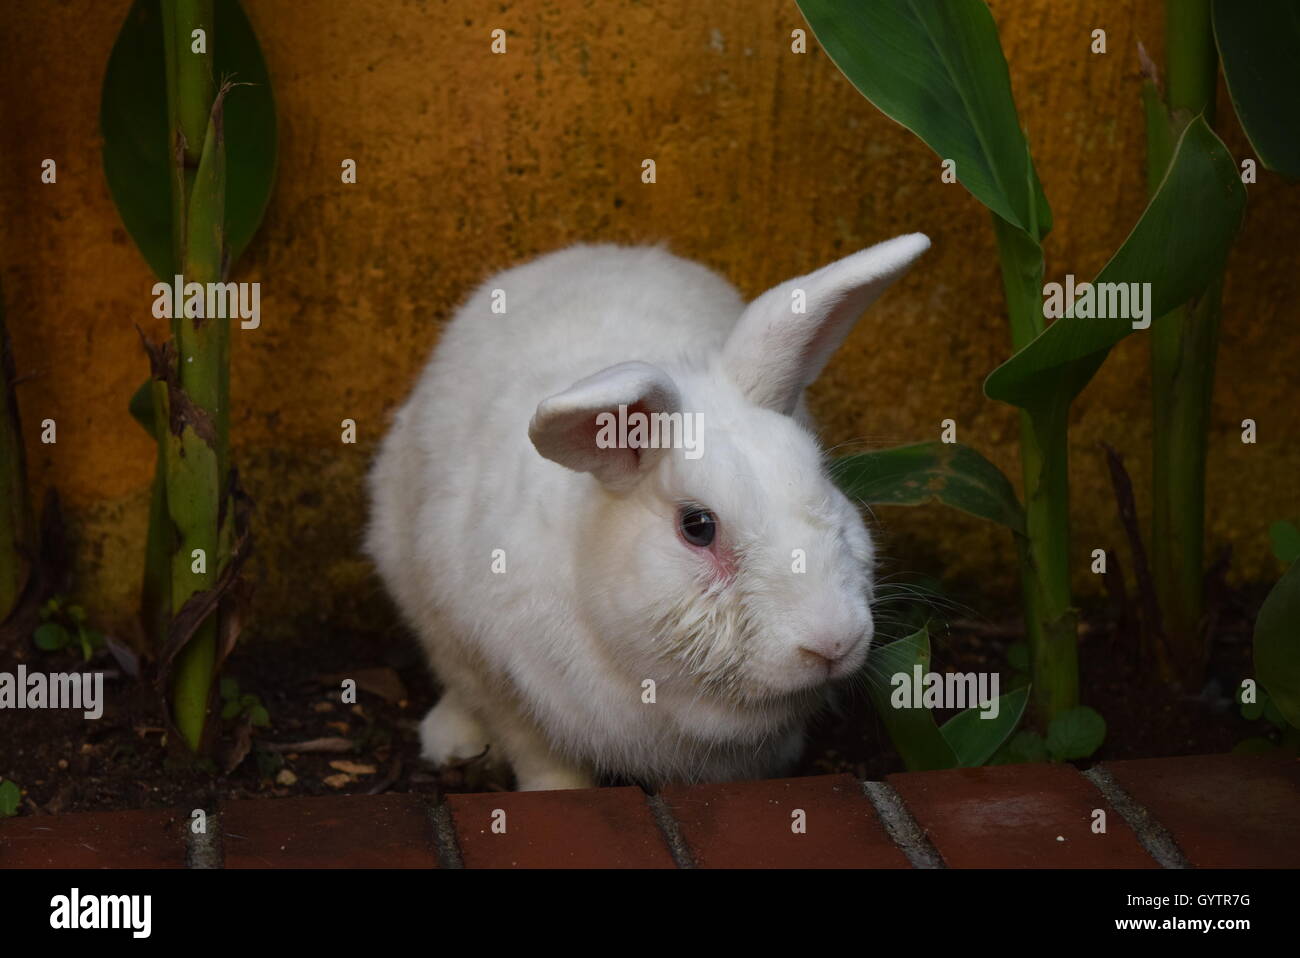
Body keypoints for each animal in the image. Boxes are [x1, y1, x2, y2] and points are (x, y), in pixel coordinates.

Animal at [365, 234, 930, 790]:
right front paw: (557, 792)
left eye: (823, 482)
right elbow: (541, 757)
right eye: (697, 527)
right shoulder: (506, 684)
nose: (833, 642)